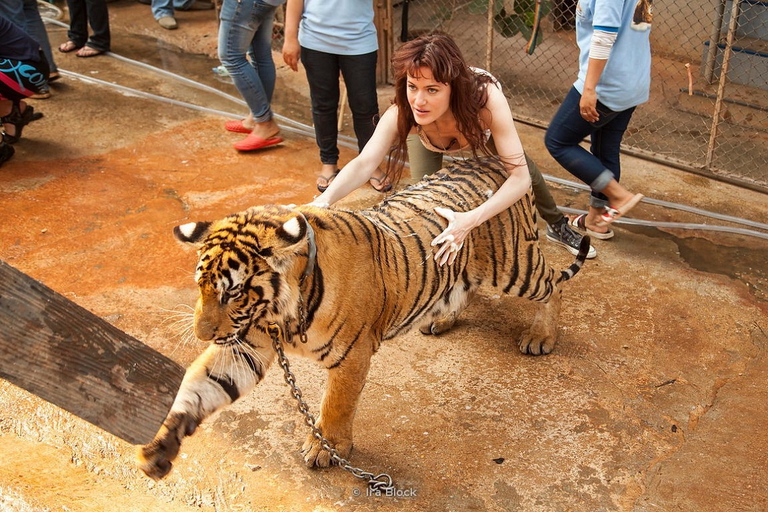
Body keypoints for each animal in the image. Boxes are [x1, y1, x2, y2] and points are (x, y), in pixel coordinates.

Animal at [138, 157, 588, 480]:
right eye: (200, 286)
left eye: (232, 292)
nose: (202, 334)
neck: (281, 315)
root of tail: (492, 159)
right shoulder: (244, 345)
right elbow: (198, 388)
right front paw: (157, 447)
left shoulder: (350, 355)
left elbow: (336, 406)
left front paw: (326, 449)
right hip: (464, 266)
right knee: (467, 286)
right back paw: (440, 321)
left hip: (512, 266)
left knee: (554, 283)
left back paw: (541, 337)